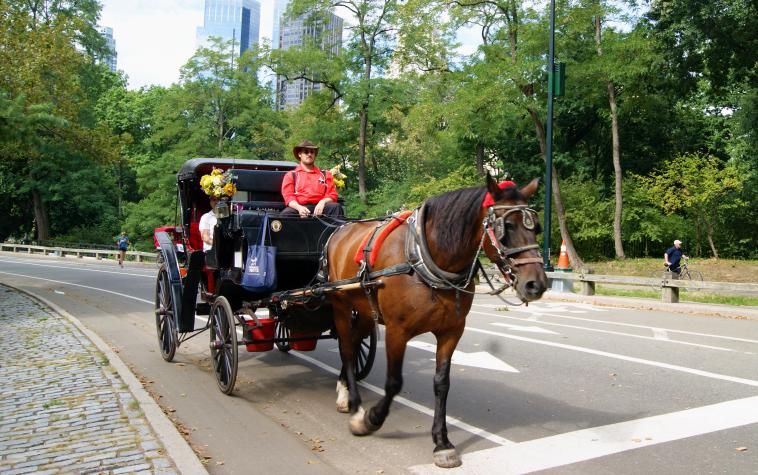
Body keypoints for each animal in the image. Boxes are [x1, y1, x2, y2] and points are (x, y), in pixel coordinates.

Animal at [326, 174, 548, 468]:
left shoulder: (451, 331)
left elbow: (442, 384)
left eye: (537, 227)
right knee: (347, 349)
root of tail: (340, 231)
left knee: (353, 341)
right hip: (340, 305)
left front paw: (441, 442)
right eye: (507, 226)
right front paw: (370, 419)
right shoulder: (397, 331)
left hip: (363, 310)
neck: (424, 259)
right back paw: (352, 402)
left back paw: (343, 389)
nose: (537, 284)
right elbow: (394, 382)